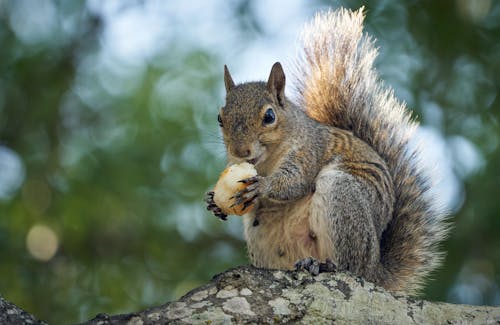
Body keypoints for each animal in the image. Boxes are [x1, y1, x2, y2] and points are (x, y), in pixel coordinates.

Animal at [203, 7, 450, 294]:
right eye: (220, 118)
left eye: (269, 116)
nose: (240, 151)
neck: (267, 161)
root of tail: (376, 271)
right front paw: (213, 201)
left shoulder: (309, 151)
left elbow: (294, 182)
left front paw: (262, 186)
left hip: (342, 199)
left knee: (350, 266)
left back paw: (324, 265)